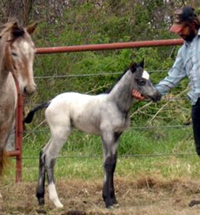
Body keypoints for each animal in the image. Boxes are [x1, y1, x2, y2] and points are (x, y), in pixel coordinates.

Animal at [23, 60, 161, 208]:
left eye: (149, 78)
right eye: (141, 80)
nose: (158, 95)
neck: (115, 105)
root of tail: (50, 102)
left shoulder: (116, 136)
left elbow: (112, 164)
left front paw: (113, 199)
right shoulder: (107, 134)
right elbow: (108, 163)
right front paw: (108, 201)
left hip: (55, 134)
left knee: (42, 153)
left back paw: (40, 199)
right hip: (61, 133)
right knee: (50, 158)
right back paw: (57, 202)